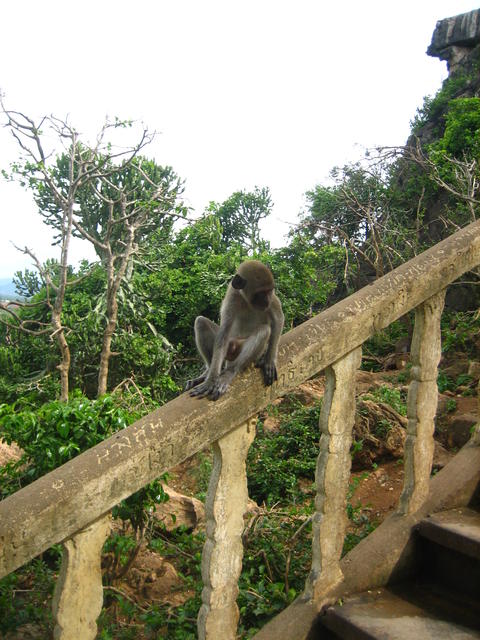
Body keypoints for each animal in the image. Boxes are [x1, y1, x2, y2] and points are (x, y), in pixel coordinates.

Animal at [185, 260, 284, 401]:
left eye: (269, 291)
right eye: (261, 293)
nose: (267, 301)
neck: (246, 300)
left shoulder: (273, 299)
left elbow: (278, 319)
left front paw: (269, 360)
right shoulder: (232, 296)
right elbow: (224, 334)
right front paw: (210, 380)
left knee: (264, 330)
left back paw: (230, 372)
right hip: (228, 353)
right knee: (201, 322)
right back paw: (209, 373)